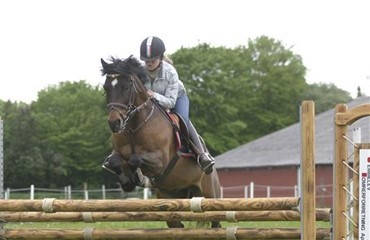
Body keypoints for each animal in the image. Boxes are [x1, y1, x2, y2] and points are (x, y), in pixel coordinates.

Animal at [99, 55, 221, 228]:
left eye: (126, 87)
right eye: (106, 88)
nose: (114, 123)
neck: (134, 127)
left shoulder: (160, 161)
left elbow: (135, 159)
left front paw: (138, 177)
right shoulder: (117, 154)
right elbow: (115, 161)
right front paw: (127, 181)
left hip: (210, 194)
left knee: (216, 222)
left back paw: (206, 161)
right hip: (171, 195)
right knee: (176, 224)